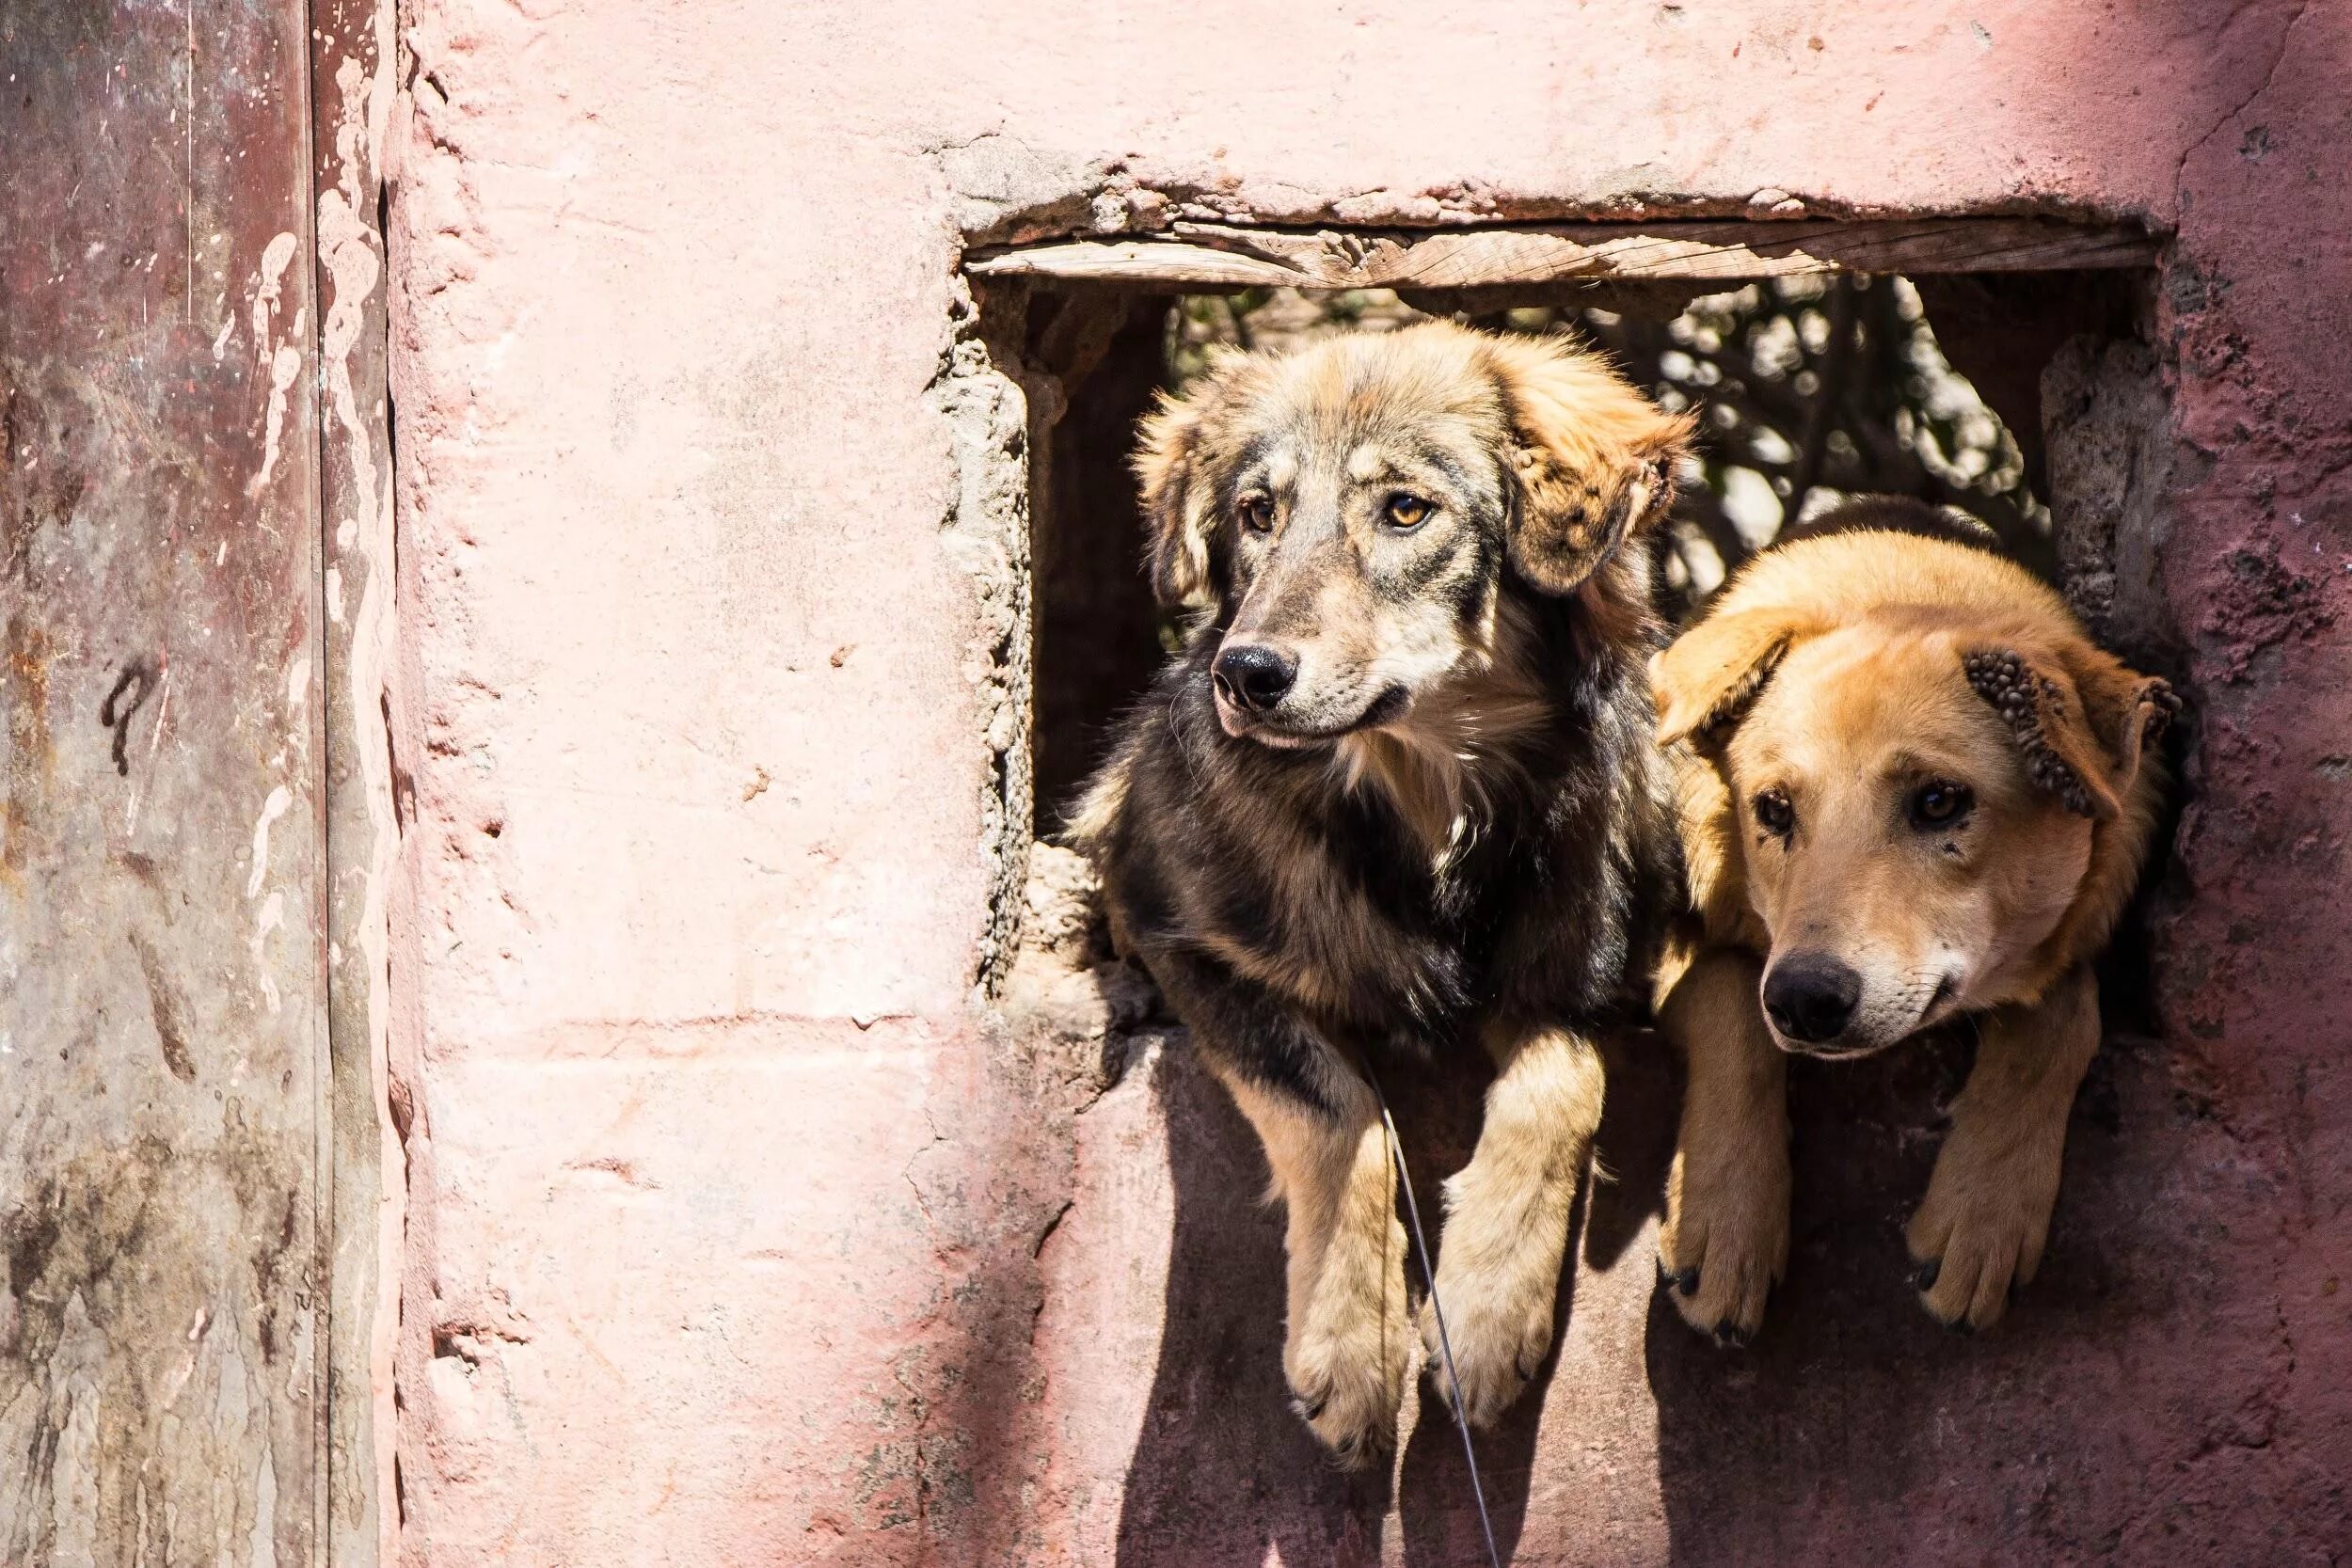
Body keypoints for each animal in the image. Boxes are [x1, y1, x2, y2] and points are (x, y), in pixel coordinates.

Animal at [1068, 319, 1693, 1457]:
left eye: (1405, 509)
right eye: (1257, 513)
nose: (1244, 673)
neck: (1423, 805)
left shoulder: (1585, 976)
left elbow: (1562, 1081)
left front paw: (1488, 1308)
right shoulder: (1172, 929)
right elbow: (1337, 1103)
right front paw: (1351, 1344)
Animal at [1646, 500, 2173, 1335]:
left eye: (1937, 801)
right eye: (1773, 809)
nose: (1804, 998)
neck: (1893, 591)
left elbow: (2062, 1008)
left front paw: (1983, 1210)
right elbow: (1731, 997)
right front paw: (1724, 1217)